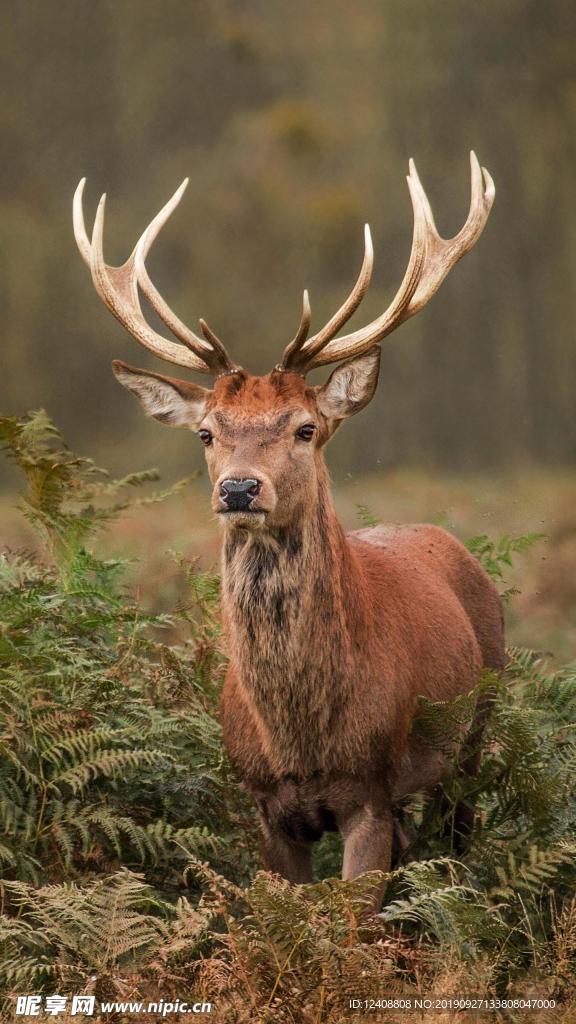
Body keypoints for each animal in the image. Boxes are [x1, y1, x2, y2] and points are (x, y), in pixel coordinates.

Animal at [73, 153, 504, 894]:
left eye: (305, 428)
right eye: (207, 433)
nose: (240, 488)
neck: (300, 743)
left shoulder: (370, 790)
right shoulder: (266, 805)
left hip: (479, 726)